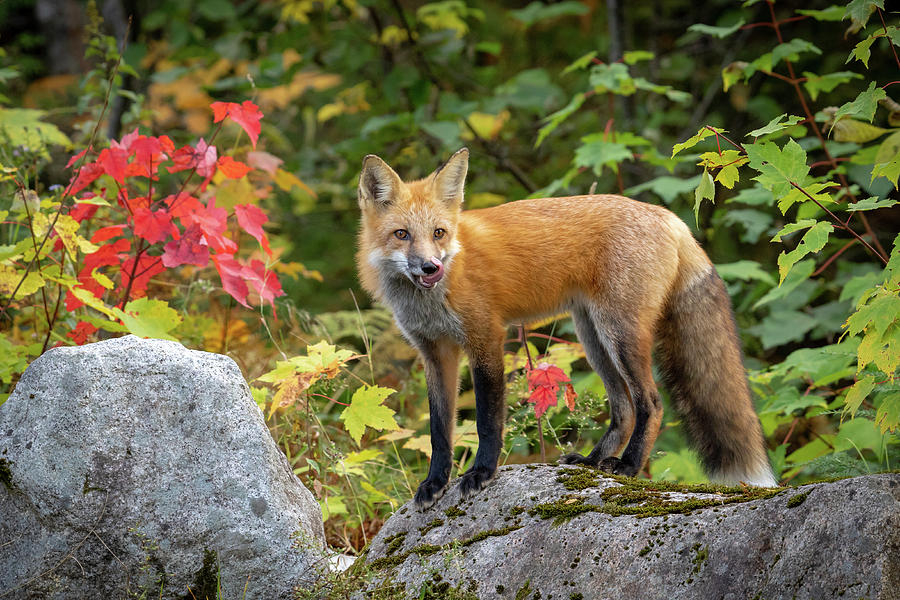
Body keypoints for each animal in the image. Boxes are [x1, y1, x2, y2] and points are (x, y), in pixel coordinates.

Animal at [356, 149, 776, 506]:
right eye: (402, 235)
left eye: (439, 233)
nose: (431, 267)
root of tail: (669, 217)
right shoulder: (436, 353)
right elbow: (440, 431)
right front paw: (434, 482)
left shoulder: (486, 338)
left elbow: (487, 421)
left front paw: (481, 473)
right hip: (593, 338)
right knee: (624, 408)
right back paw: (593, 461)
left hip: (619, 333)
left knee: (651, 403)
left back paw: (628, 466)